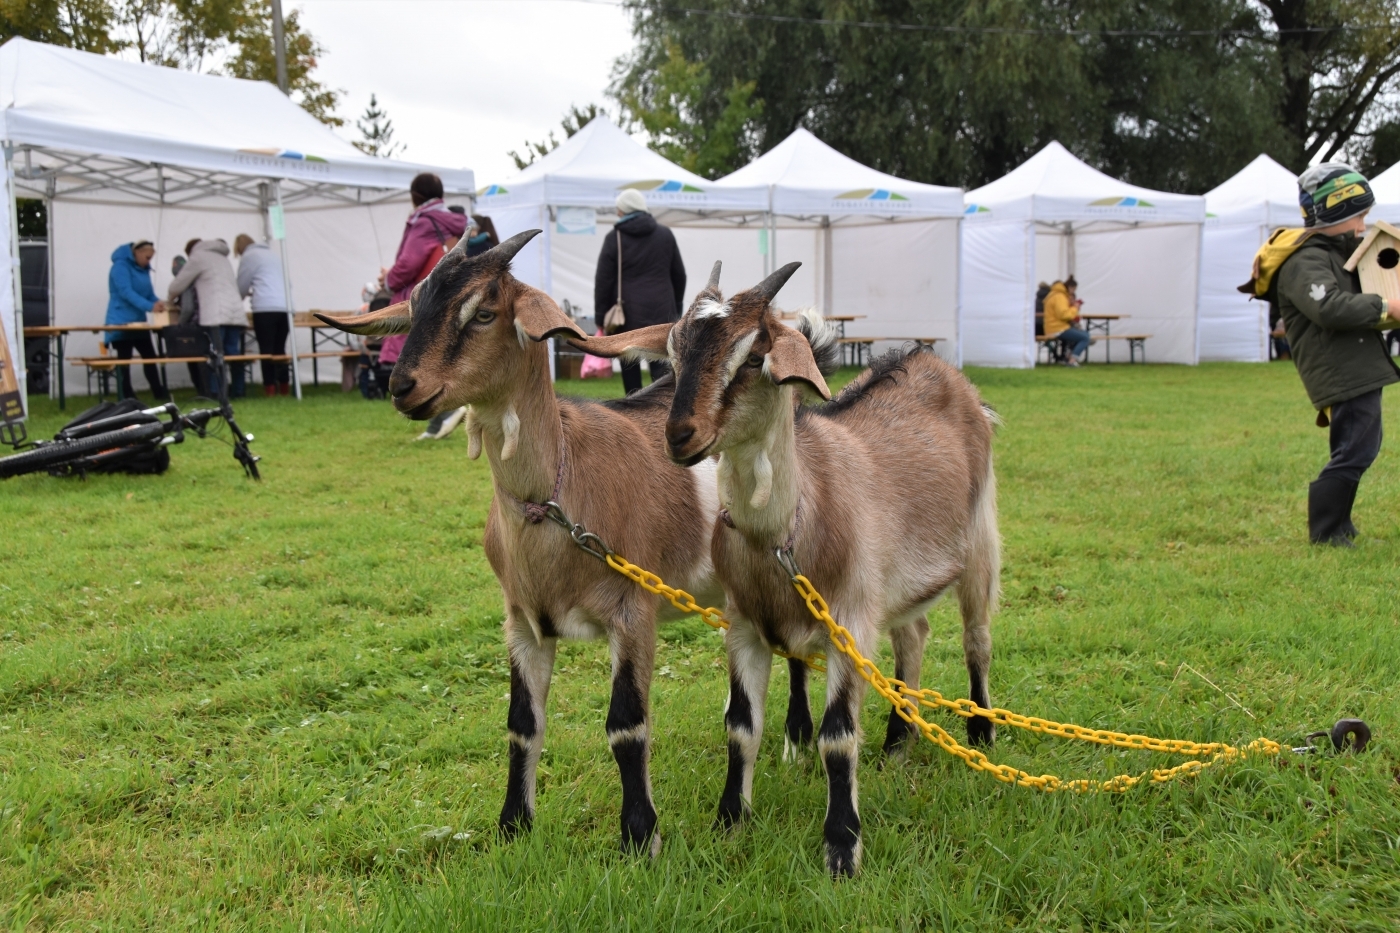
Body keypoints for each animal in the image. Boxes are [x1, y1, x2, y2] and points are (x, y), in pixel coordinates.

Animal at [585, 259, 1002, 874]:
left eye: (753, 357)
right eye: (674, 354)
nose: (679, 435)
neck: (787, 529)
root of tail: (932, 363)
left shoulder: (849, 622)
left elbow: (837, 735)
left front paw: (842, 847)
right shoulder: (743, 626)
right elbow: (740, 725)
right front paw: (730, 821)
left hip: (979, 540)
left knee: (977, 637)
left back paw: (980, 731)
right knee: (915, 634)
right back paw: (898, 743)